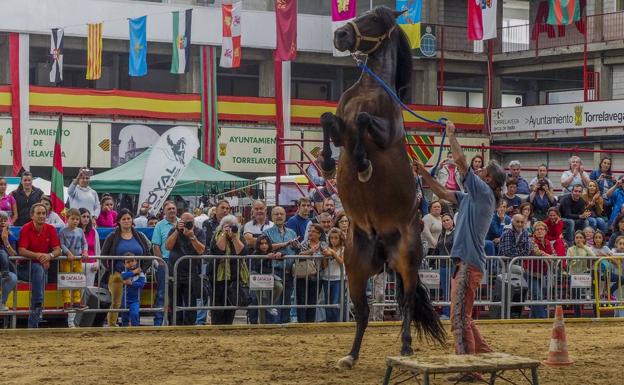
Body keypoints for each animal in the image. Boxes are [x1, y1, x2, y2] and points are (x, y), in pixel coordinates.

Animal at [320, 5, 446, 366]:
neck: (368, 89)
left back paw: (405, 347)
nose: (340, 35)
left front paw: (362, 165)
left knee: (405, 303)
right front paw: (328, 161)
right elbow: (328, 121)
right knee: (362, 312)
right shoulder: (340, 127)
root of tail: (382, 248)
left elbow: (363, 123)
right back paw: (350, 355)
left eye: (375, 18)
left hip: (407, 261)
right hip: (355, 268)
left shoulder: (386, 134)